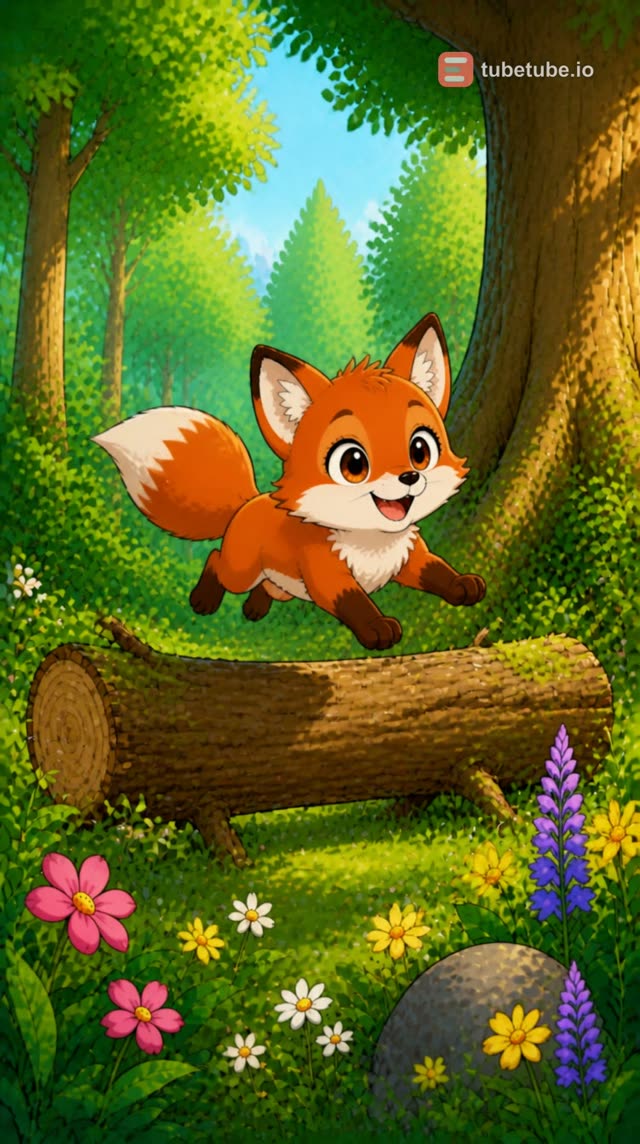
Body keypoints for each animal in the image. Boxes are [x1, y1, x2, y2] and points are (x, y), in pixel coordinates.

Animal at [94, 313, 485, 651]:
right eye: (353, 463)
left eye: (420, 449)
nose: (410, 477)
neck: (371, 543)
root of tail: (248, 501)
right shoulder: (328, 574)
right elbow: (354, 602)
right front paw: (377, 627)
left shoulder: (409, 557)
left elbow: (437, 570)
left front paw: (463, 585)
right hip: (240, 570)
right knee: (216, 559)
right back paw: (204, 599)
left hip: (281, 585)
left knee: (267, 588)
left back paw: (254, 609)